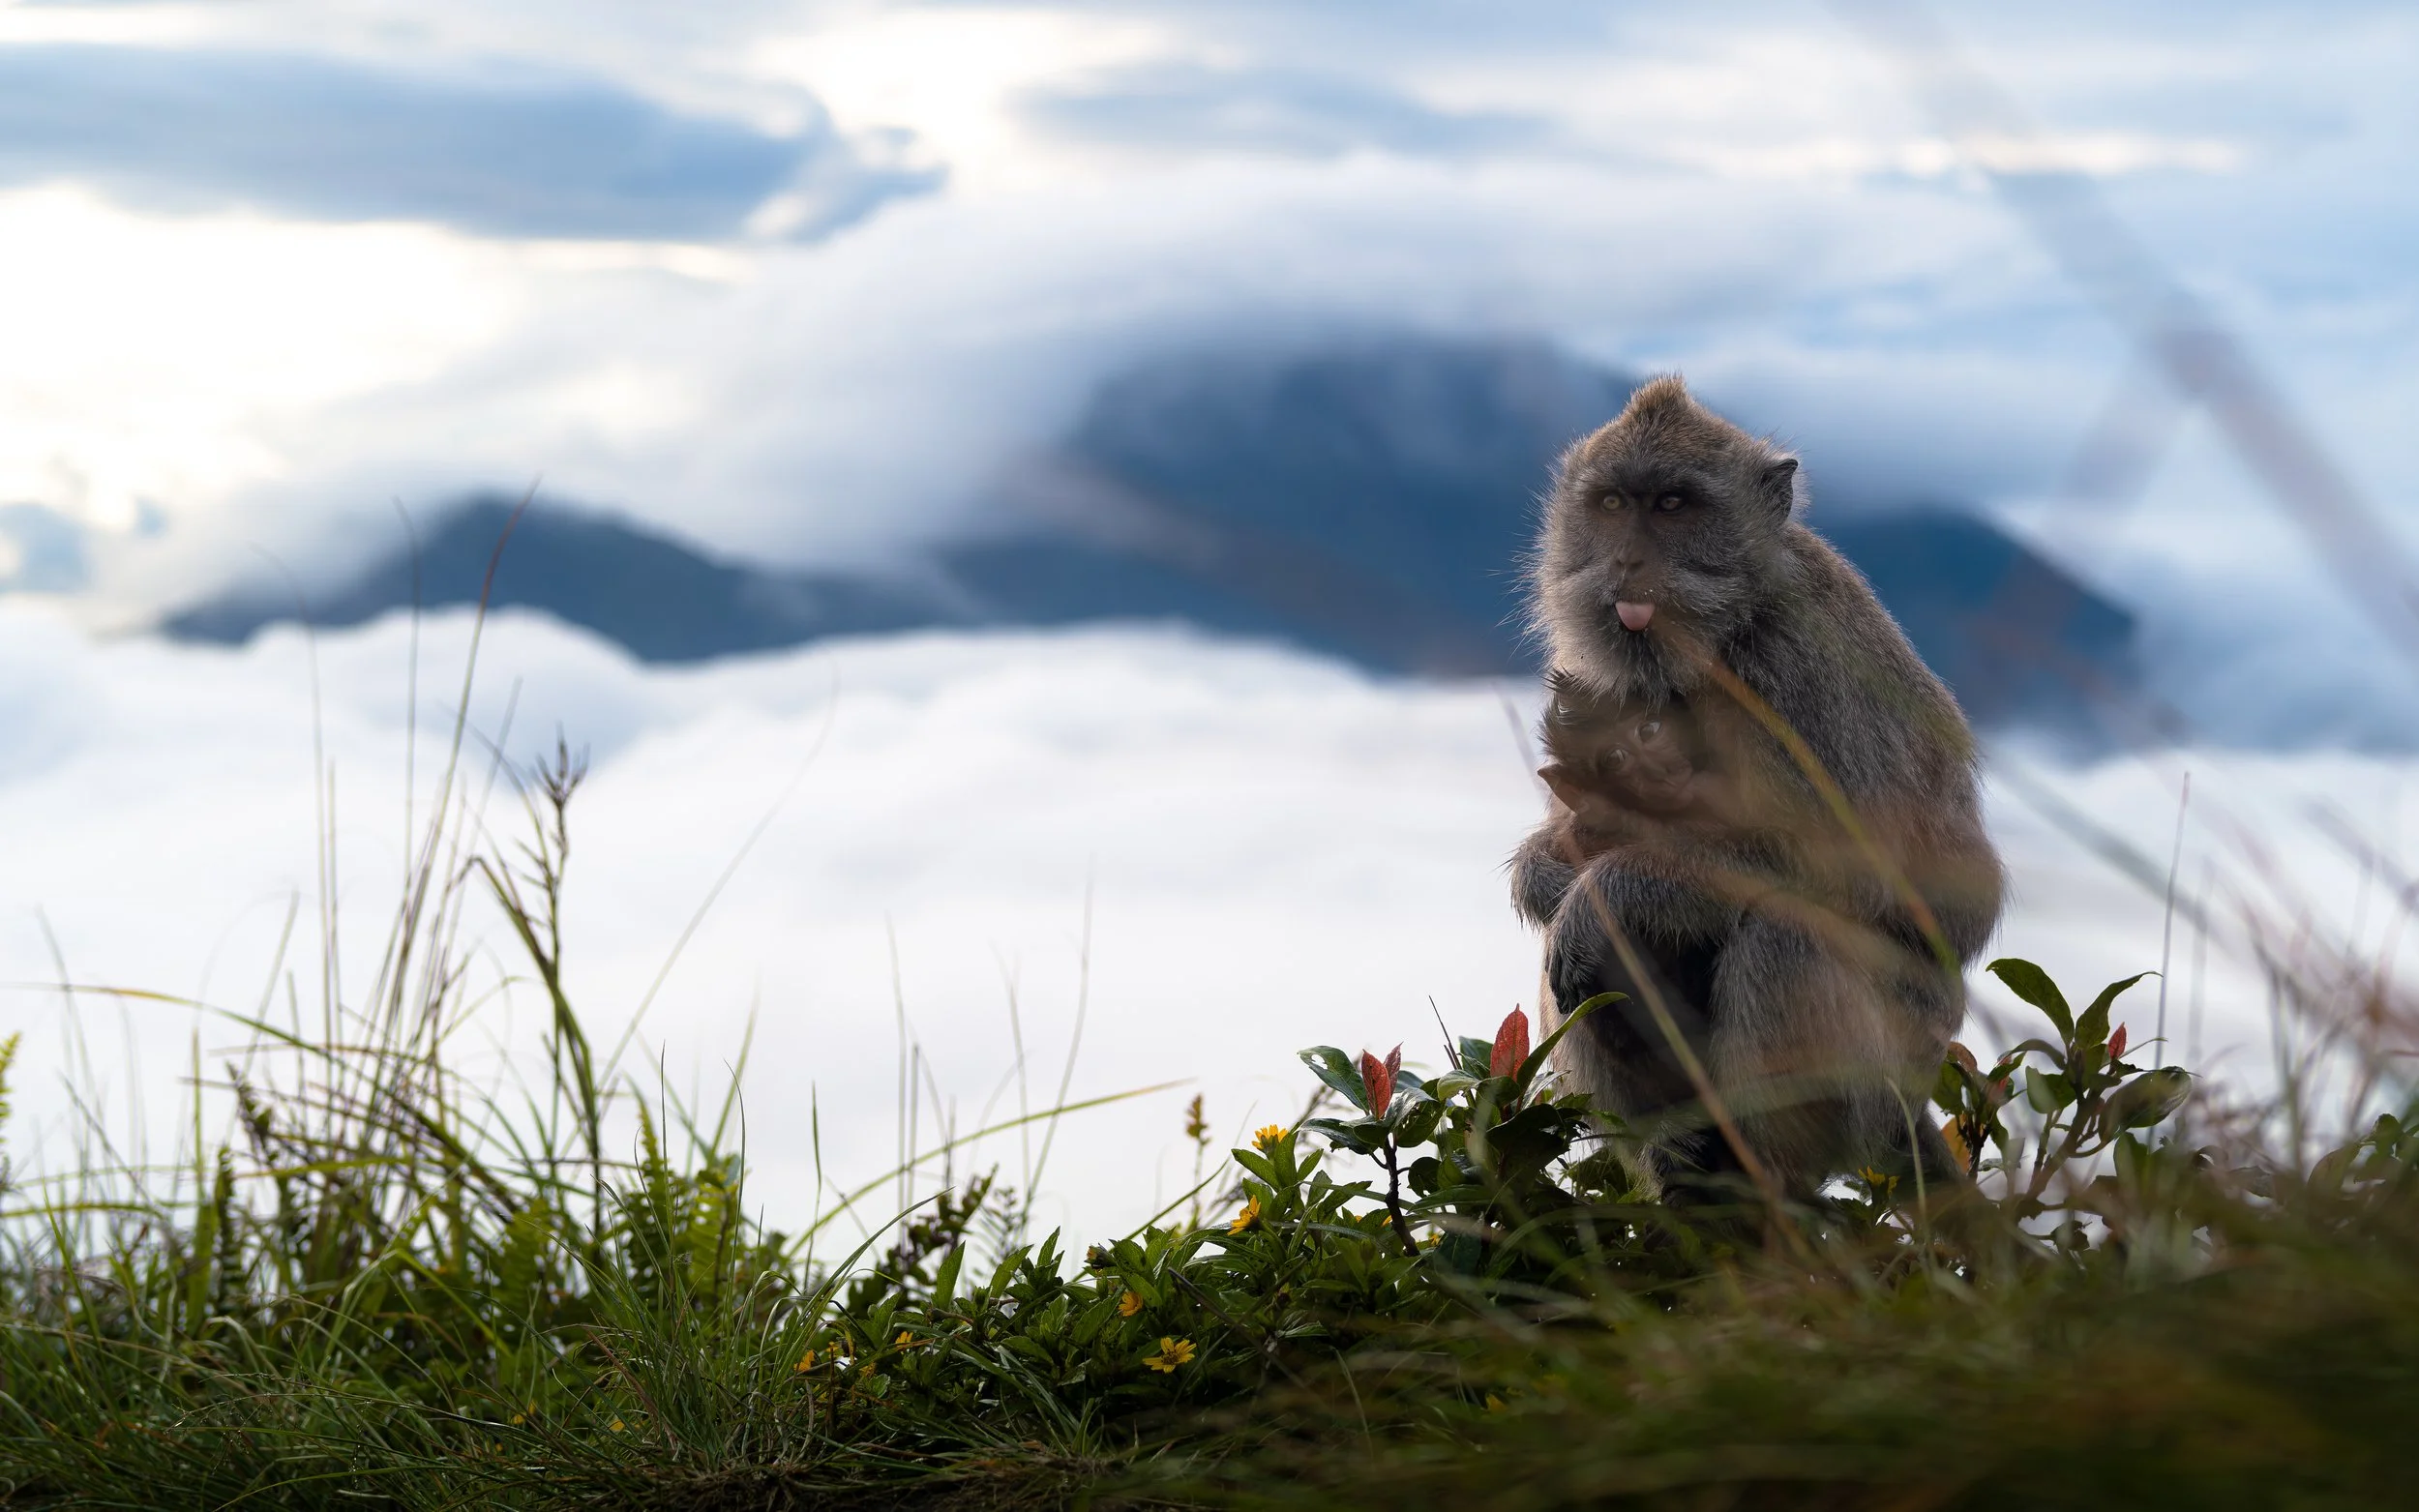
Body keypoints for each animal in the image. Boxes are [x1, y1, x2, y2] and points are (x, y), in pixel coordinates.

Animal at [1508, 376, 2003, 1206]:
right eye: (1612, 503)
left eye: (1673, 504)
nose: (1628, 561)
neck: (1730, 621)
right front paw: (1545, 874)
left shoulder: (1795, 672)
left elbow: (1836, 871)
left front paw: (1606, 891)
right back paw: (1682, 1152)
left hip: (1886, 1072)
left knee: (1786, 932)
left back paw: (1768, 1170)